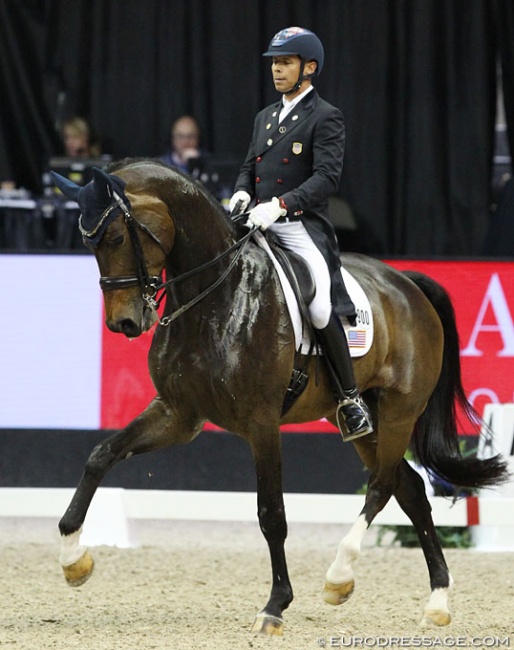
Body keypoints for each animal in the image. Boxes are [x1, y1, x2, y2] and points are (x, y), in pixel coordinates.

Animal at [50, 159, 506, 636]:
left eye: (117, 238)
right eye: (89, 244)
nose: (123, 323)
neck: (217, 299)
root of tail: (407, 284)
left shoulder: (262, 423)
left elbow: (272, 514)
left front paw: (275, 605)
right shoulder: (178, 414)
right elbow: (101, 455)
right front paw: (73, 558)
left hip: (400, 409)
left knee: (382, 485)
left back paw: (339, 576)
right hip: (364, 420)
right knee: (411, 489)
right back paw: (437, 601)